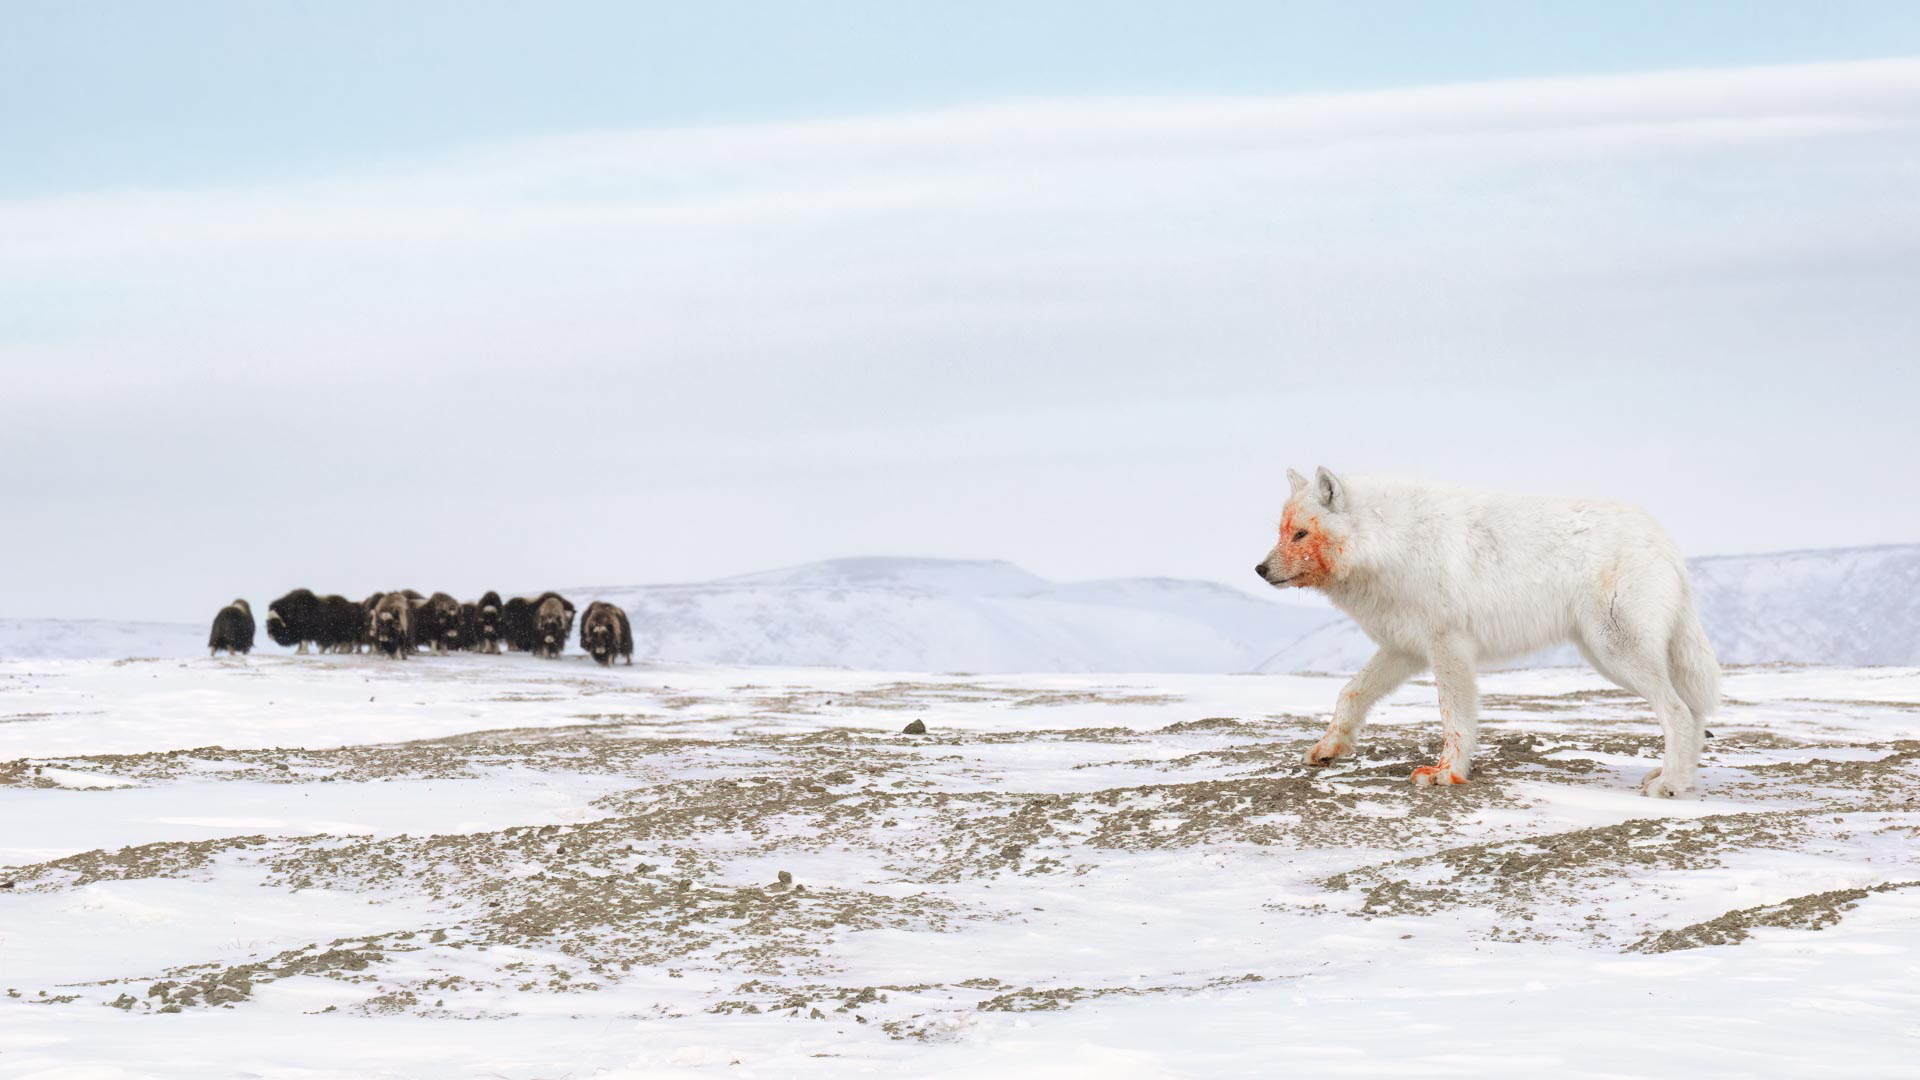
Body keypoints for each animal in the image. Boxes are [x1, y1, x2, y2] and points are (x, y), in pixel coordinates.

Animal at [1255, 468, 1720, 797]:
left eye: (1302, 533)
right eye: (1281, 532)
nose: (1259, 569)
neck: (1392, 542)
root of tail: (1666, 542)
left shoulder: (1449, 647)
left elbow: (1454, 717)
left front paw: (1446, 773)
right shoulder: (1404, 648)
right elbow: (1350, 694)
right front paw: (1329, 749)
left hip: (1616, 654)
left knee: (1678, 712)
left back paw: (1669, 784)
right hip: (1609, 656)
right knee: (1693, 715)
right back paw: (1678, 778)